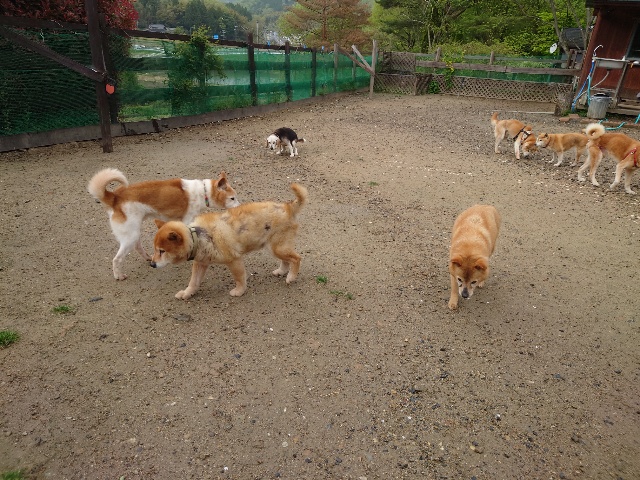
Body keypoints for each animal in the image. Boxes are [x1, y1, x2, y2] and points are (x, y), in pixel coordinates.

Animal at [88, 169, 240, 280]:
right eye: (232, 198)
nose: (240, 207)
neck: (203, 192)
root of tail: (114, 197)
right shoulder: (186, 220)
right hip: (130, 235)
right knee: (116, 259)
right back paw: (119, 276)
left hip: (134, 231)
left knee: (137, 246)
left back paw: (148, 257)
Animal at [150, 183, 308, 300]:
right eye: (155, 250)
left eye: (162, 251)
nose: (152, 264)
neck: (198, 237)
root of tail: (288, 207)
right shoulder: (201, 263)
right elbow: (193, 282)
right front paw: (187, 293)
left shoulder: (234, 260)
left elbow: (239, 278)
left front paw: (239, 291)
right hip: (275, 248)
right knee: (286, 260)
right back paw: (281, 271)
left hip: (277, 248)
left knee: (296, 258)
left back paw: (291, 277)